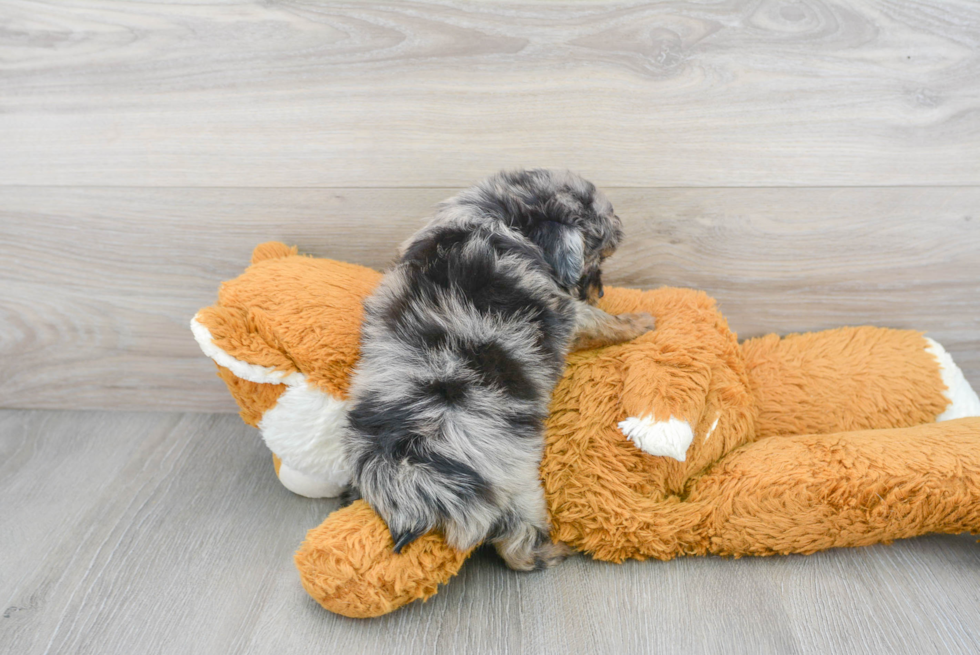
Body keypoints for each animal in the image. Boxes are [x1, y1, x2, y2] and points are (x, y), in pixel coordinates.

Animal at [340, 169, 656, 568]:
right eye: (595, 260)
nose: (597, 292)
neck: (498, 216)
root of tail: (412, 482)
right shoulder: (566, 309)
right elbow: (602, 323)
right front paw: (638, 322)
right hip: (516, 488)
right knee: (518, 548)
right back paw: (557, 549)